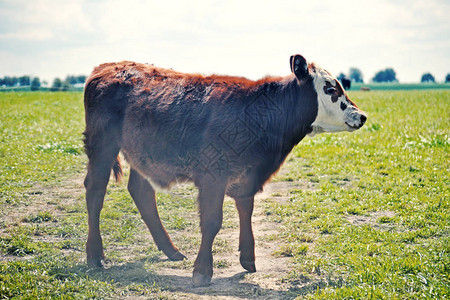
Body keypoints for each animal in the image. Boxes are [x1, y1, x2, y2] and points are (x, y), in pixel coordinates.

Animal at [83, 54, 366, 286]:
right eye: (330, 88)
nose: (361, 116)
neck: (258, 112)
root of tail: (104, 67)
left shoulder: (248, 176)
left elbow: (246, 212)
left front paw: (248, 258)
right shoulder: (213, 177)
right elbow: (212, 222)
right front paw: (202, 271)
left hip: (141, 152)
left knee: (141, 192)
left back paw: (171, 250)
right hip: (102, 145)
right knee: (95, 192)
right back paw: (95, 256)